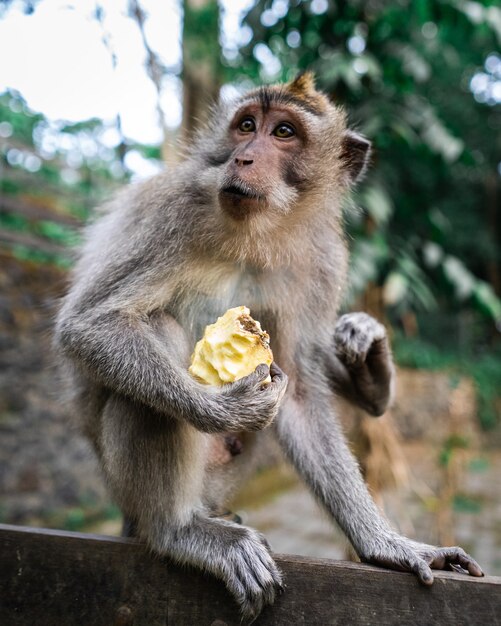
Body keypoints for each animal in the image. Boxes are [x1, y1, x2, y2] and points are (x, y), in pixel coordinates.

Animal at [54, 70, 480, 616]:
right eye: (246, 126)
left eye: (284, 133)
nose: (244, 158)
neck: (258, 229)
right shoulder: (173, 213)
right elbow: (89, 324)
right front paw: (221, 409)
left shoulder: (321, 260)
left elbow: (297, 391)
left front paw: (387, 545)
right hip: (123, 482)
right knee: (156, 329)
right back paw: (178, 530)